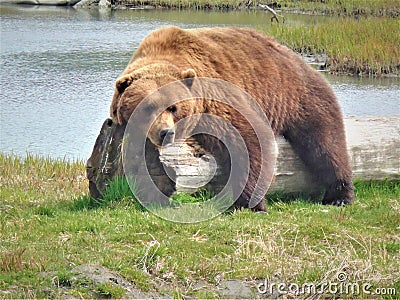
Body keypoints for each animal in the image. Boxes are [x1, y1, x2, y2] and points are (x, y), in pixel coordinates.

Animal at [109, 27, 354, 212]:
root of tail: (298, 59)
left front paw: (252, 203)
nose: (165, 132)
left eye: (173, 107)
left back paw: (340, 194)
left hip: (300, 95)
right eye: (148, 107)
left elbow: (247, 141)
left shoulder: (218, 98)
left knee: (325, 143)